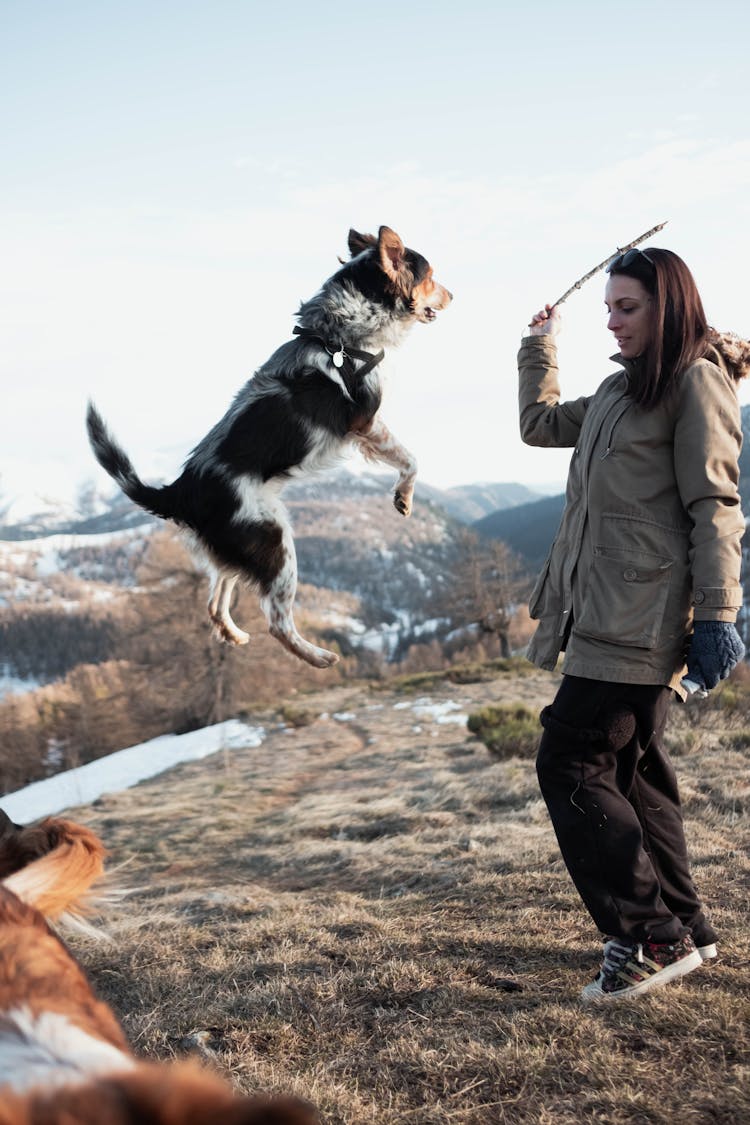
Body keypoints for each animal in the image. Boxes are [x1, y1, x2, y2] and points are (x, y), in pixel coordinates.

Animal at [88, 226, 452, 666]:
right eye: (431, 277)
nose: (454, 296)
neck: (341, 330)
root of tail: (180, 492)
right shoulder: (367, 422)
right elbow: (411, 459)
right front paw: (404, 498)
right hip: (276, 544)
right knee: (277, 623)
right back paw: (319, 657)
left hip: (241, 550)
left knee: (215, 603)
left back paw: (233, 633)